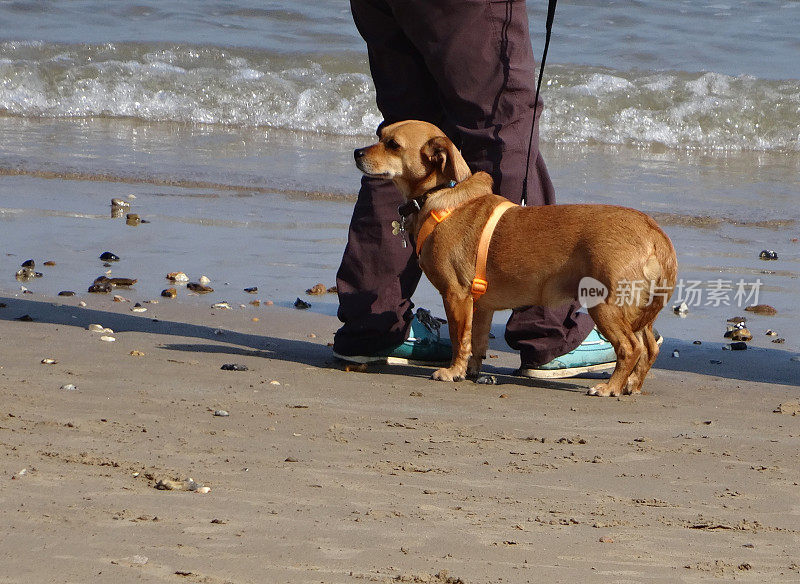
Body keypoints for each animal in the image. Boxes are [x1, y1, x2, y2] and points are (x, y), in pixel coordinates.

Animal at [356, 120, 676, 394]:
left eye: (393, 145)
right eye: (380, 135)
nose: (357, 153)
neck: (441, 194)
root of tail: (655, 234)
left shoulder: (456, 296)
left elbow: (460, 339)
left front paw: (453, 372)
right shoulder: (481, 306)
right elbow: (477, 342)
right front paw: (471, 371)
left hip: (605, 304)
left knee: (631, 348)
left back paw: (610, 387)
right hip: (637, 310)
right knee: (650, 347)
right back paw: (632, 384)